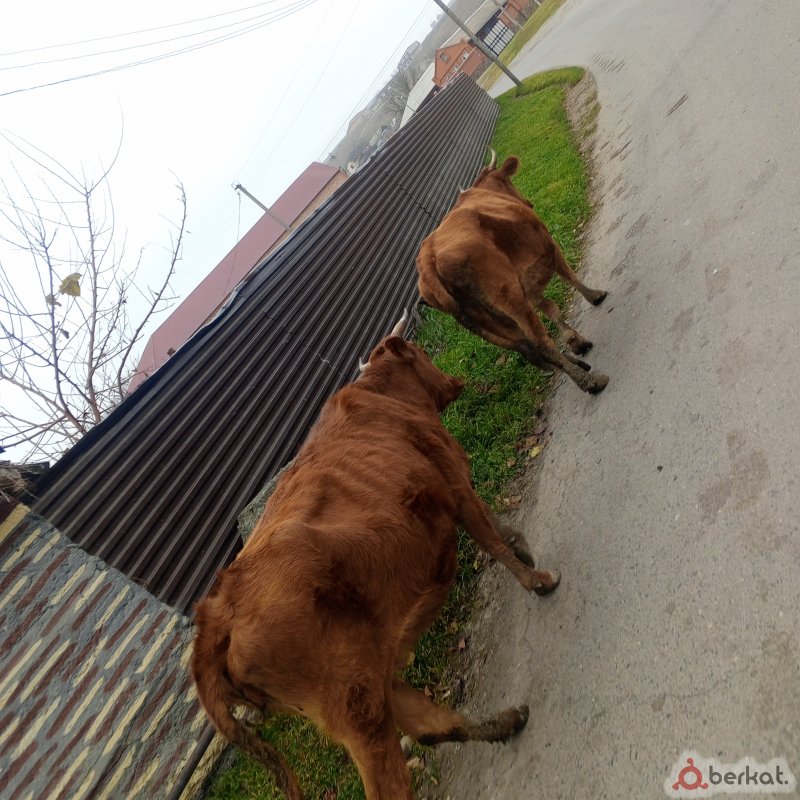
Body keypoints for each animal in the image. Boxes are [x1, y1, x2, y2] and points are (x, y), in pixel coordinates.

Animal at [191, 313, 561, 800]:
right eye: (418, 354)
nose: (455, 380)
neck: (382, 398)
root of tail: (215, 612)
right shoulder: (452, 482)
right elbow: (490, 539)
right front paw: (537, 580)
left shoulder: (452, 490)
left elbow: (495, 527)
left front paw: (521, 544)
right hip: (354, 706)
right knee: (391, 778)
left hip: (371, 680)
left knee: (429, 727)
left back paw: (506, 723)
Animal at [417, 150, 609, 394]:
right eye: (510, 181)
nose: (530, 202)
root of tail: (428, 261)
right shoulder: (549, 245)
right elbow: (569, 277)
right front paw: (595, 296)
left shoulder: (526, 286)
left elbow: (549, 307)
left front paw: (574, 341)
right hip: (508, 296)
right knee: (540, 343)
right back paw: (590, 382)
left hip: (482, 322)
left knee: (526, 347)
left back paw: (576, 364)